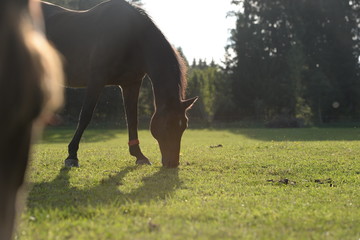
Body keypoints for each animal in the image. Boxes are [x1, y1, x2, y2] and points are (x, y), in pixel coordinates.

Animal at [41, 0, 198, 169]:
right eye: (168, 124)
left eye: (184, 125)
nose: (173, 163)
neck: (131, 38)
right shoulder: (96, 80)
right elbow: (85, 116)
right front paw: (72, 155)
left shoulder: (131, 84)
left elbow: (132, 118)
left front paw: (139, 155)